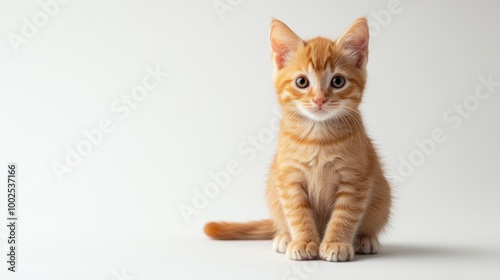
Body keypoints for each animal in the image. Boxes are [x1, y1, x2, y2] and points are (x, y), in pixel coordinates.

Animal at [203, 18, 390, 262]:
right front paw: (304, 241)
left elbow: (345, 214)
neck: (318, 138)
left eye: (338, 81)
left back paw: (365, 239)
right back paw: (284, 237)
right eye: (302, 82)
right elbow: (297, 213)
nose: (319, 99)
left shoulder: (355, 179)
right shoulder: (288, 178)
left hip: (383, 196)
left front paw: (336, 243)